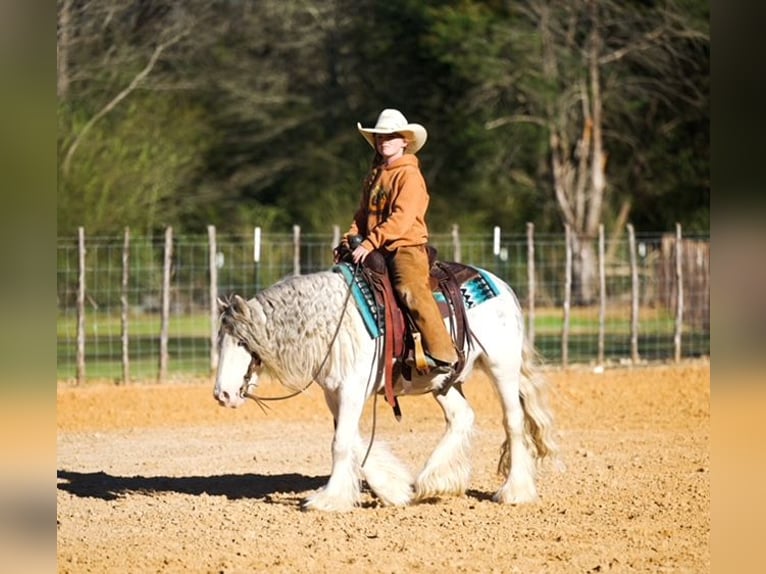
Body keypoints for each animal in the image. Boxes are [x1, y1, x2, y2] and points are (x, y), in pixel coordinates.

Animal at [213, 265, 557, 512]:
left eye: (242, 342)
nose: (222, 394)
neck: (332, 323)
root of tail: (501, 286)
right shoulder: (334, 393)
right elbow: (353, 441)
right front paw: (393, 489)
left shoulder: (353, 389)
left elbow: (341, 443)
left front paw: (328, 500)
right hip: (444, 383)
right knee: (462, 417)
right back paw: (434, 482)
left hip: (502, 367)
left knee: (513, 422)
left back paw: (515, 491)